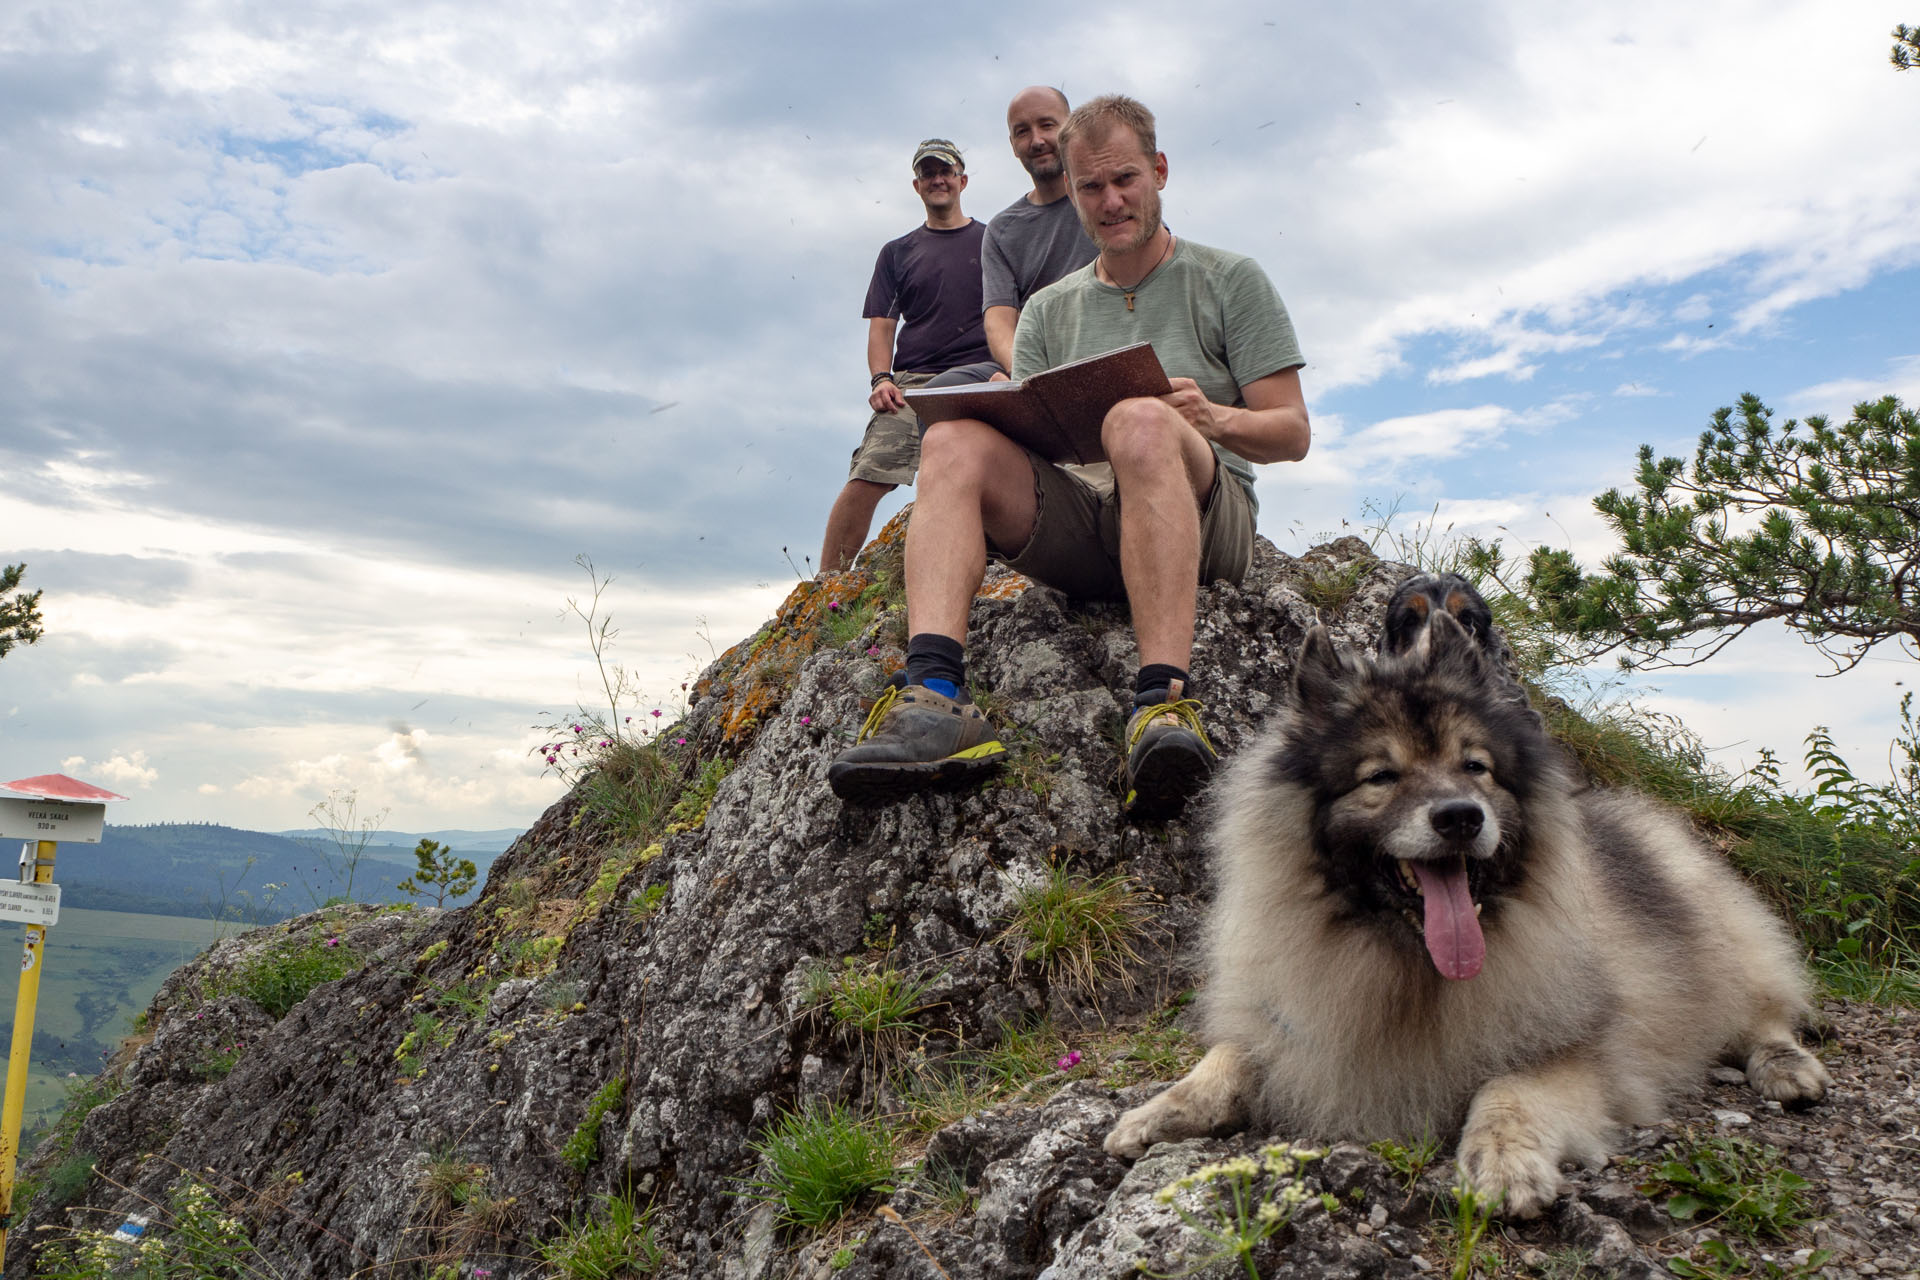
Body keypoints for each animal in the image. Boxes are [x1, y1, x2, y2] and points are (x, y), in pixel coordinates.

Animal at [1105, 575, 1820, 1220]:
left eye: (1475, 766)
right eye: (1381, 776)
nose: (1460, 817)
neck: (1409, 966)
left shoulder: (1581, 1055)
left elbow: (1507, 1089)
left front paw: (1504, 1164)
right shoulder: (1290, 1021)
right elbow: (1225, 1056)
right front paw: (1154, 1113)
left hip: (1722, 941)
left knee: (1763, 1010)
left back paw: (1787, 1067)